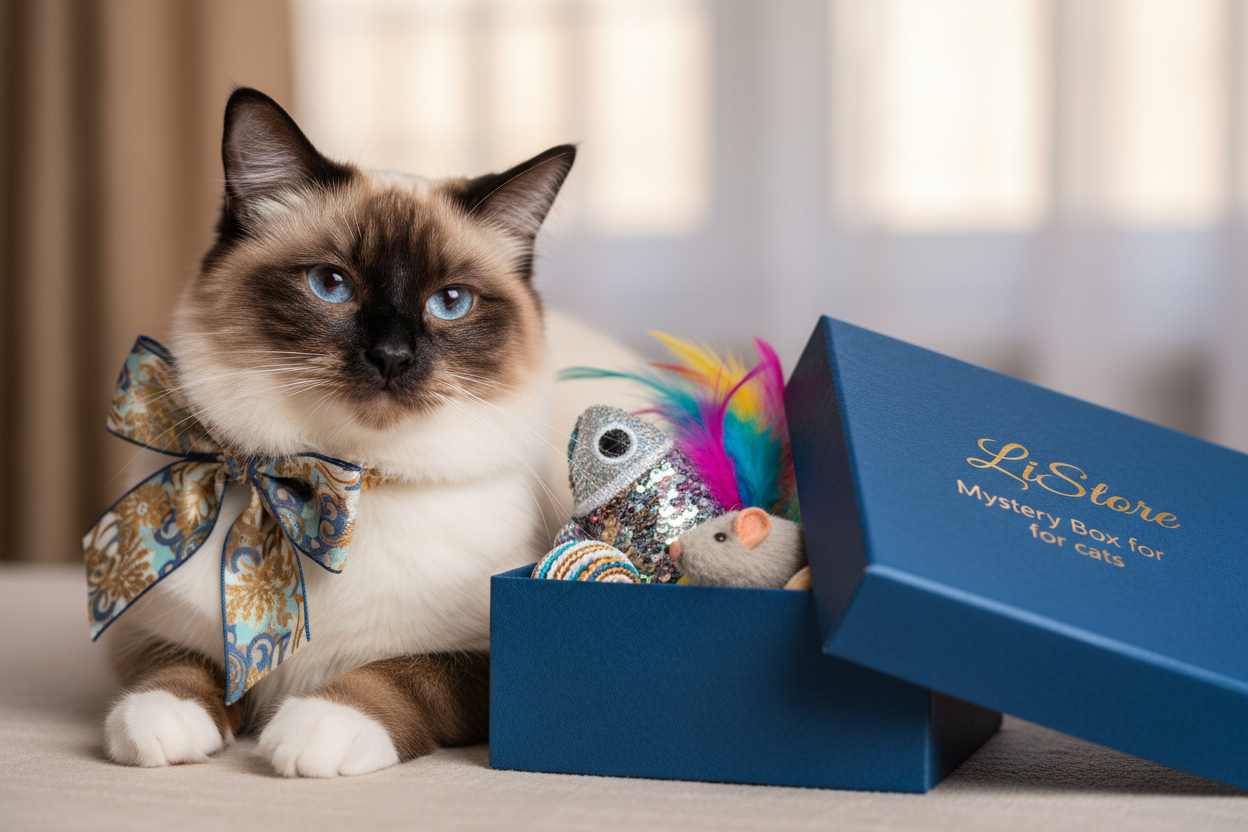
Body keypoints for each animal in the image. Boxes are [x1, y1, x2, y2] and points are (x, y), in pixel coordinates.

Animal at [99, 87, 606, 777]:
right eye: (331, 284)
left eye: (451, 302)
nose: (392, 356)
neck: (335, 489)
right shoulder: (141, 630)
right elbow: (178, 666)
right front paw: (160, 720)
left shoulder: (485, 658)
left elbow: (396, 674)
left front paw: (318, 729)